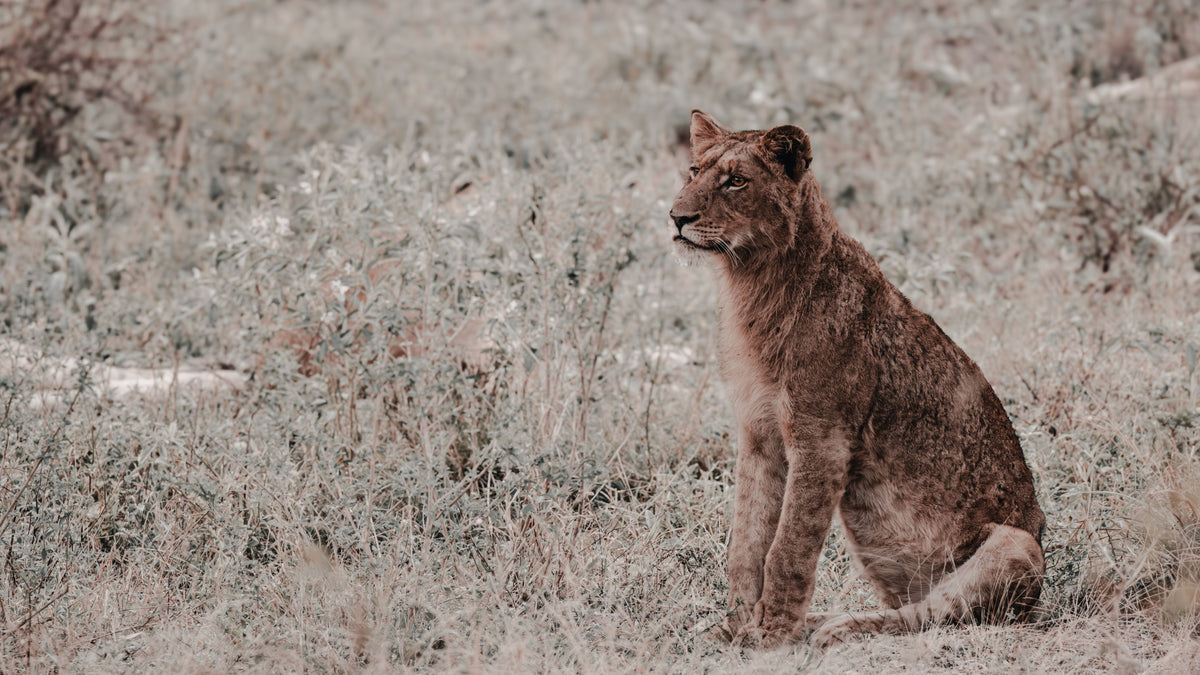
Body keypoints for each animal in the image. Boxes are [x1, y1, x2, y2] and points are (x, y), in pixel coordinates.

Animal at [670, 111, 1045, 649]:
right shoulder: (758, 436)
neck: (754, 284)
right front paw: (736, 627)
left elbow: (788, 547)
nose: (676, 218)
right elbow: (746, 543)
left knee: (931, 615)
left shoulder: (822, 439)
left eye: (736, 181)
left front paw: (772, 635)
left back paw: (839, 627)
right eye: (693, 171)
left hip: (1018, 544)